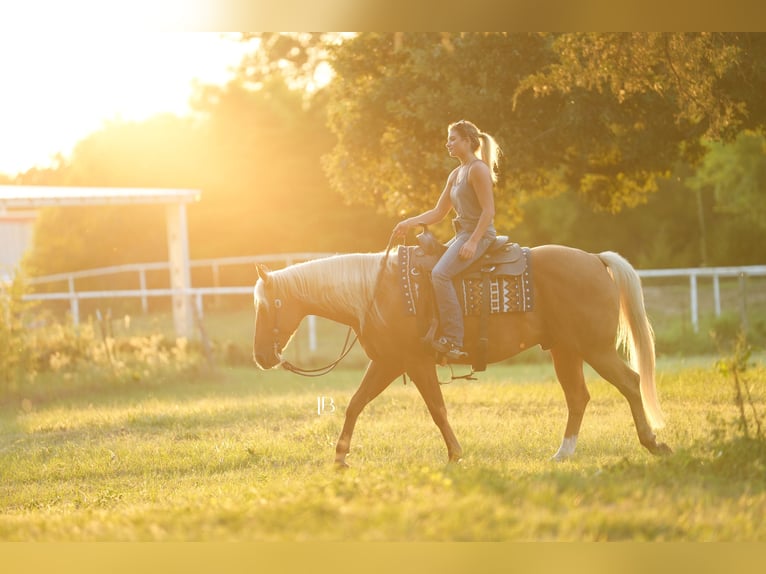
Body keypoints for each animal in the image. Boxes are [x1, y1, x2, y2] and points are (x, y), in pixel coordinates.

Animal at [252, 243, 672, 467]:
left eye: (269, 305)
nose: (261, 357)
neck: (375, 292)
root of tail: (594, 259)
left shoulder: (413, 362)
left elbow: (437, 409)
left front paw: (455, 454)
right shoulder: (387, 362)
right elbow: (356, 403)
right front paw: (340, 457)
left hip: (595, 349)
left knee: (630, 382)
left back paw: (653, 443)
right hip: (566, 351)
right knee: (578, 397)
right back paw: (563, 453)